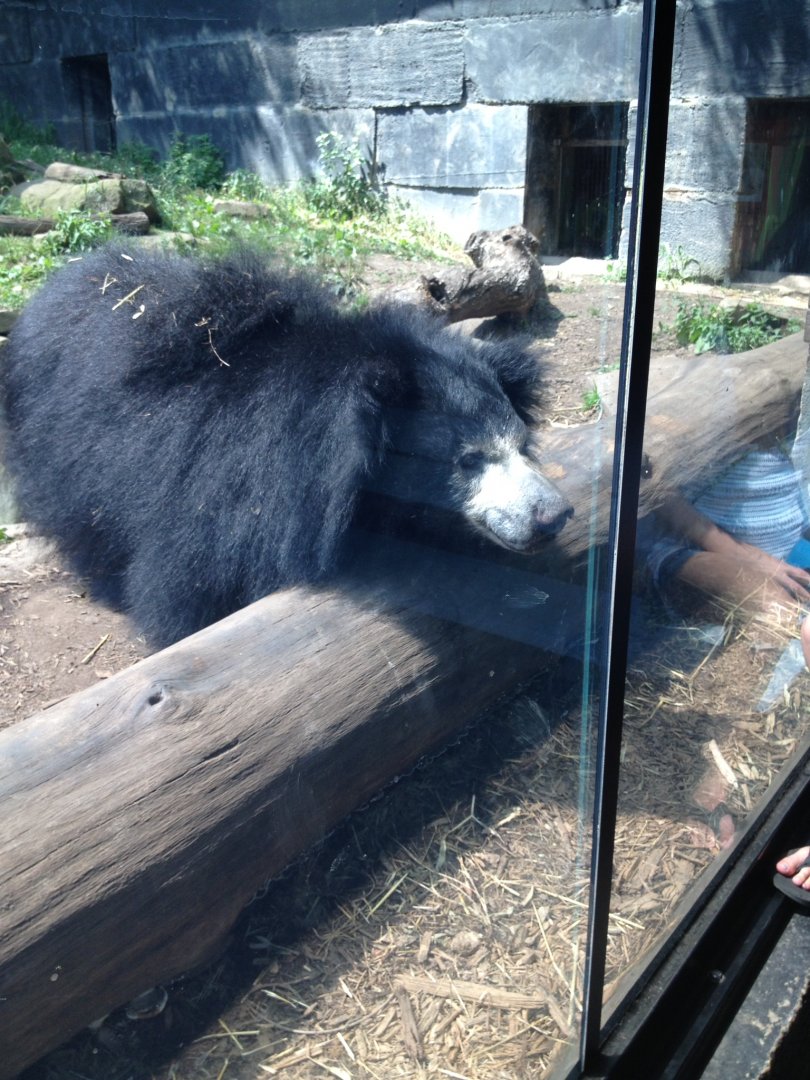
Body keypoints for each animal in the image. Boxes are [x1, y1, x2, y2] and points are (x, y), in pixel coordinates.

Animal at [1, 245, 572, 647]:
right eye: (468, 460)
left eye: (521, 445)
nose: (553, 514)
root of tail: (56, 286)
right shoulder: (216, 495)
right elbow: (187, 584)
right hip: (59, 447)